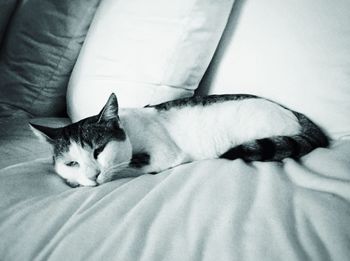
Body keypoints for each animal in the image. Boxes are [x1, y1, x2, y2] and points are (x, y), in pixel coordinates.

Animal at [29, 92, 328, 186]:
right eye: (71, 163)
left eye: (99, 150)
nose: (92, 176)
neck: (129, 129)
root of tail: (295, 113)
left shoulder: (165, 155)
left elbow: (128, 168)